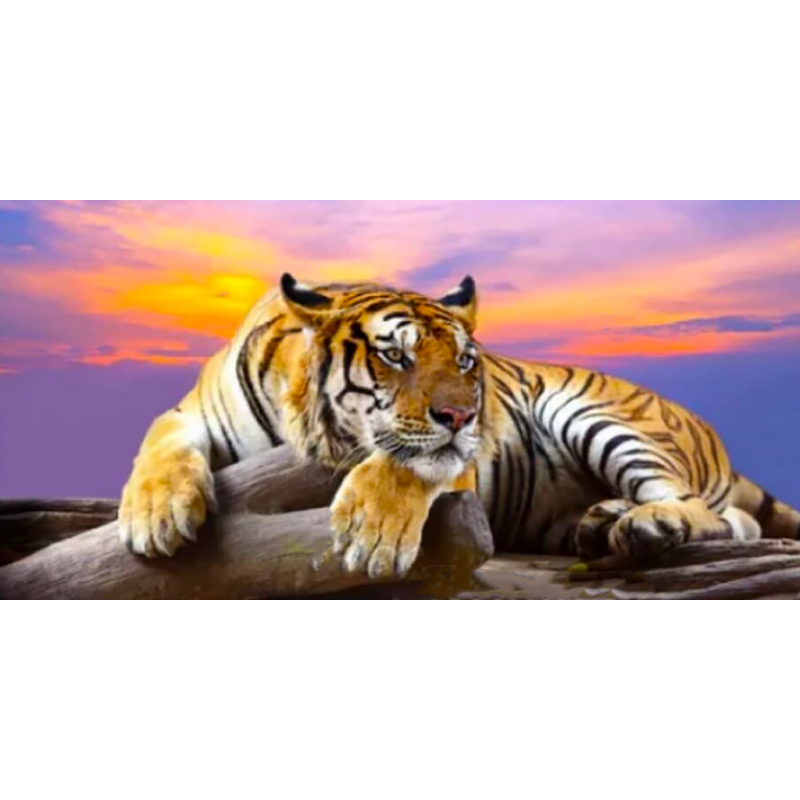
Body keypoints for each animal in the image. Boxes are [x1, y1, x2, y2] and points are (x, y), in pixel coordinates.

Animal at [118, 273, 800, 575]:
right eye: (396, 355)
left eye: (466, 360)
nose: (465, 415)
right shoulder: (190, 413)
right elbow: (159, 445)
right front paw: (156, 516)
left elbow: (407, 464)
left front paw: (372, 534)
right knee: (734, 522)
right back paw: (604, 521)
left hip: (597, 415)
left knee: (706, 511)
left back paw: (645, 525)